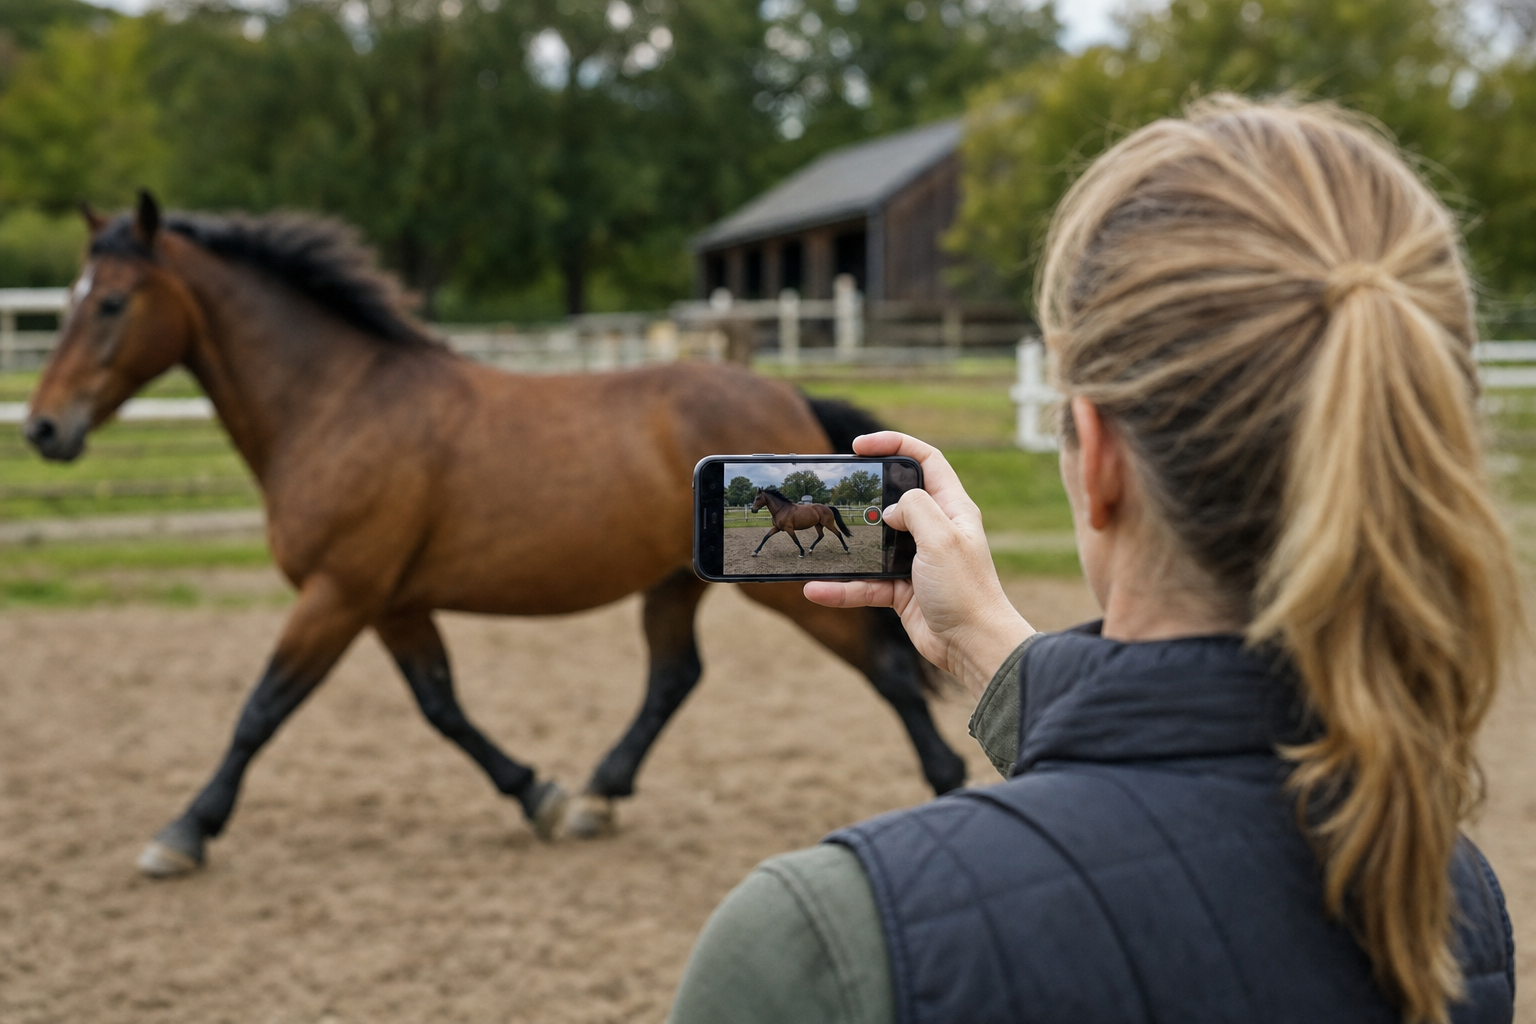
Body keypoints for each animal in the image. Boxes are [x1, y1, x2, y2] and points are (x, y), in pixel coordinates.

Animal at [22, 193, 966, 878]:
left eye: (110, 303)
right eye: (66, 304)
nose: (41, 429)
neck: (337, 405)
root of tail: (785, 395)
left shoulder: (339, 594)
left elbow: (262, 708)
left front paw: (183, 832)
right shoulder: (390, 604)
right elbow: (441, 705)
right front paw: (537, 794)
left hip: (784, 598)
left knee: (883, 670)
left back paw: (946, 789)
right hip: (672, 584)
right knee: (675, 678)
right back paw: (595, 796)